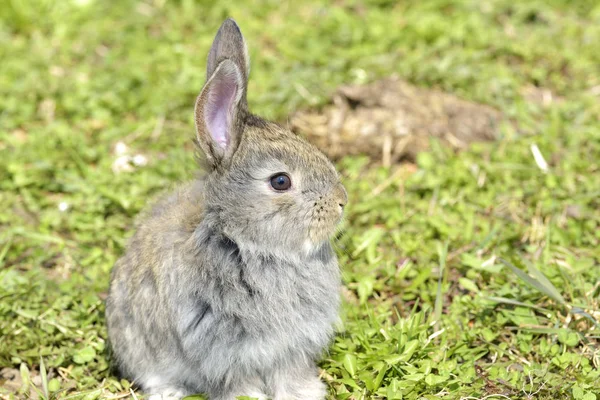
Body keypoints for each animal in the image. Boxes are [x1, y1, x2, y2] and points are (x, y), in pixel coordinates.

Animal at [103, 16, 346, 400]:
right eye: (280, 181)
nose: (341, 202)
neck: (248, 244)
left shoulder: (289, 348)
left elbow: (288, 374)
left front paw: (304, 393)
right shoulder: (225, 351)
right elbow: (239, 382)